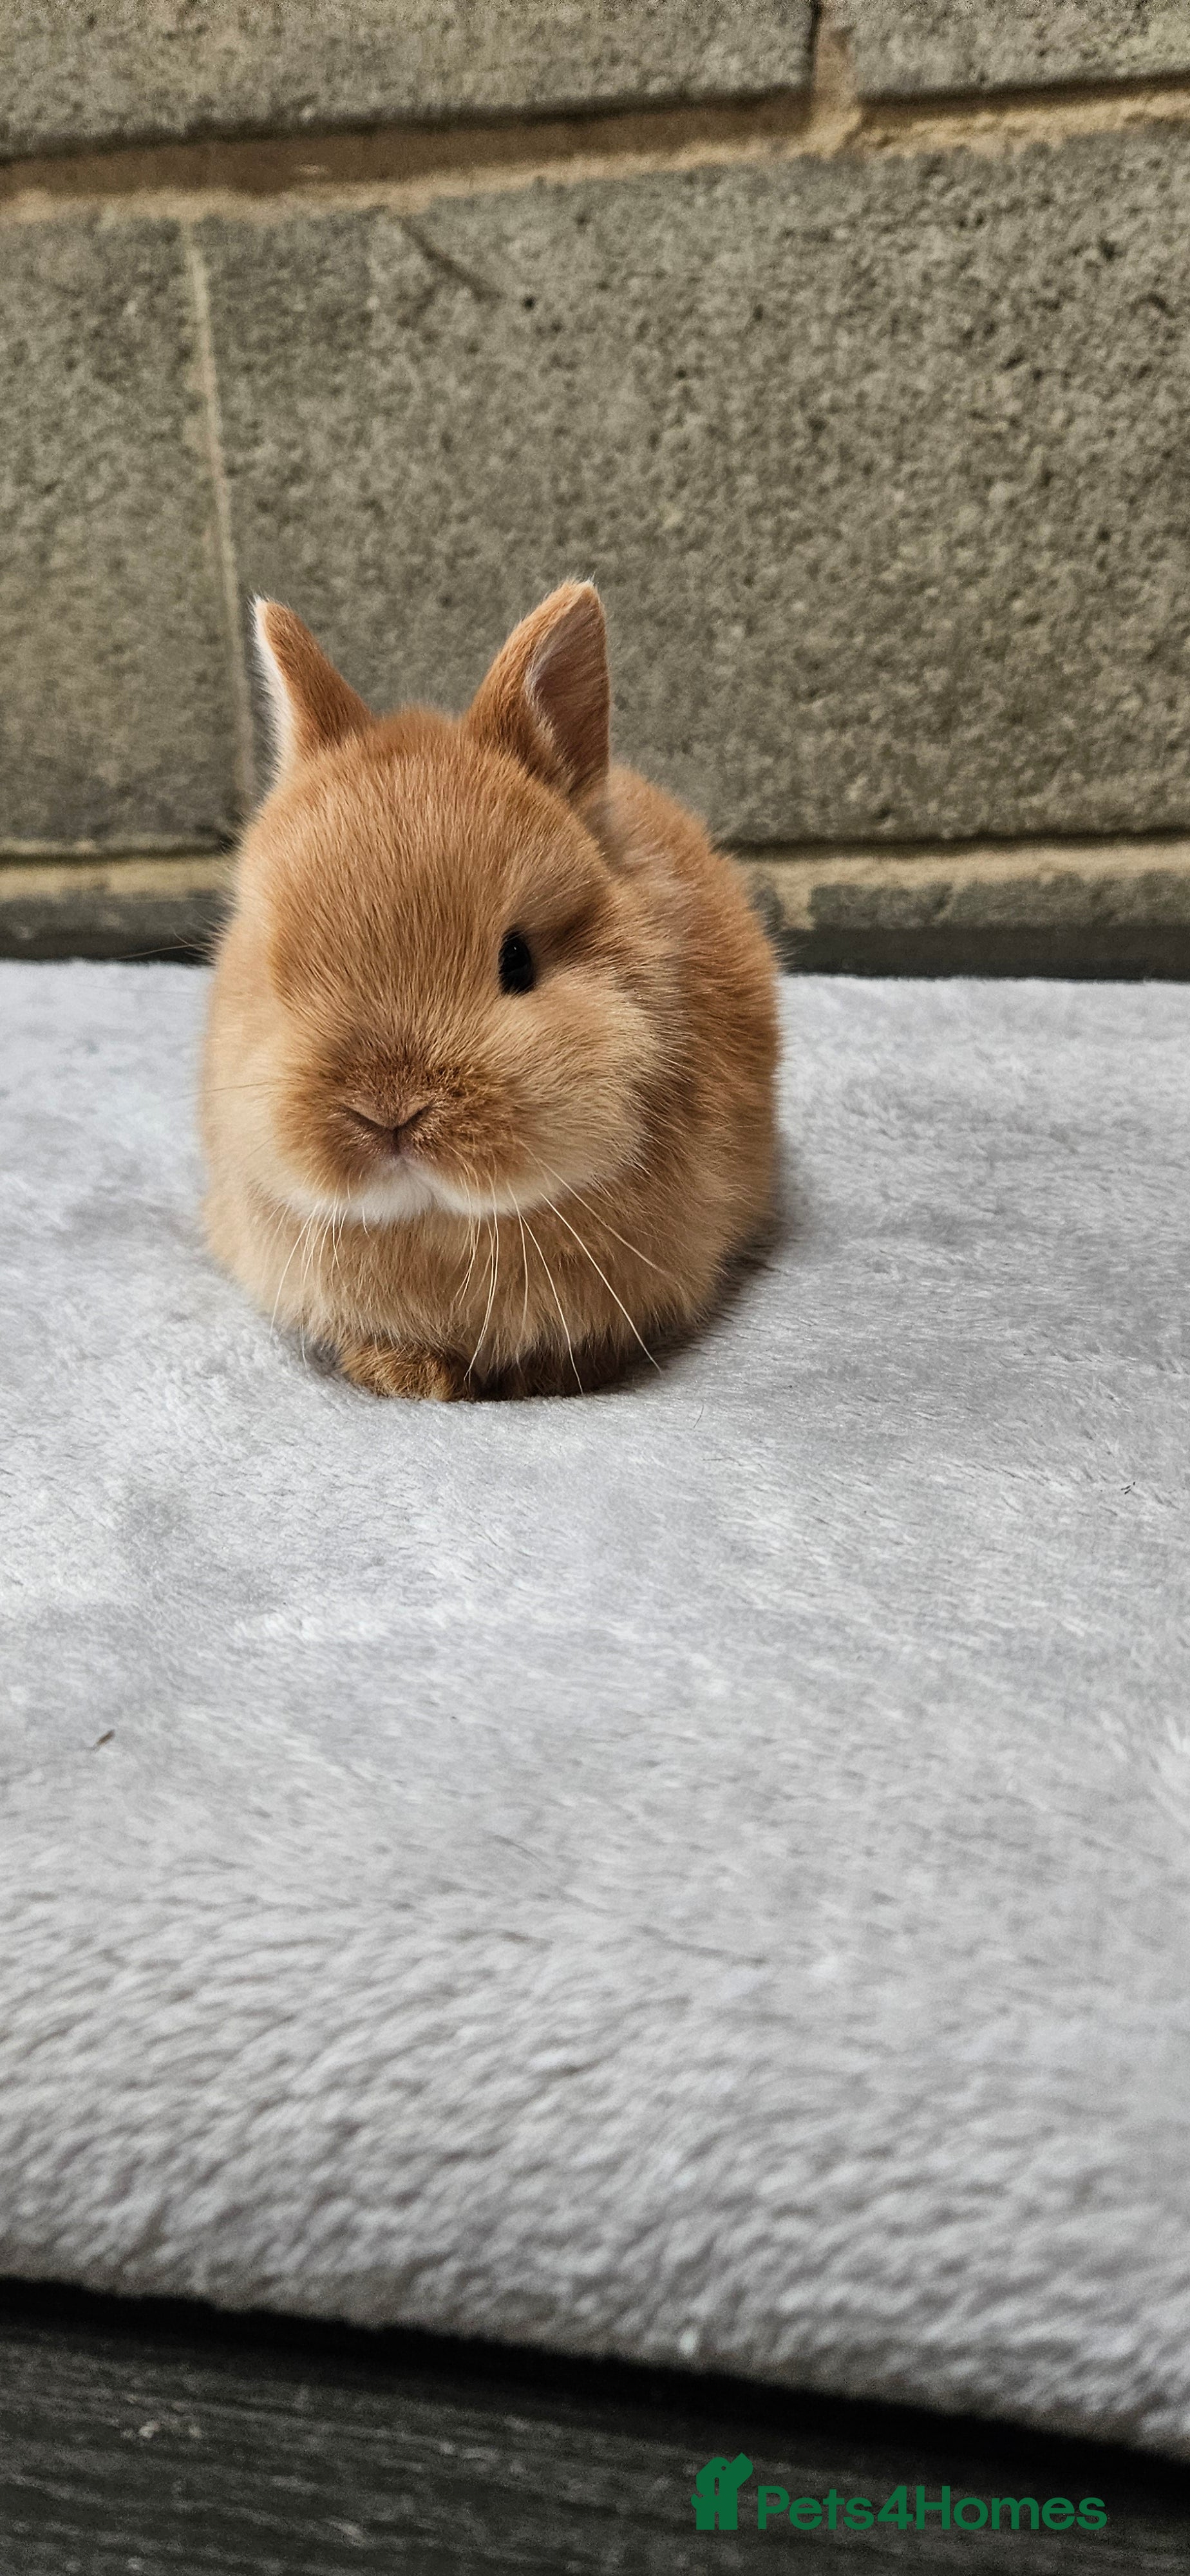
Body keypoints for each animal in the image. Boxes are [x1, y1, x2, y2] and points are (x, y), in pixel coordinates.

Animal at [201, 581, 778, 1399]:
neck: (446, 1227)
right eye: (283, 978)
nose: (391, 1112)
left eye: (518, 962)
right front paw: (403, 1378)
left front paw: (538, 1382)